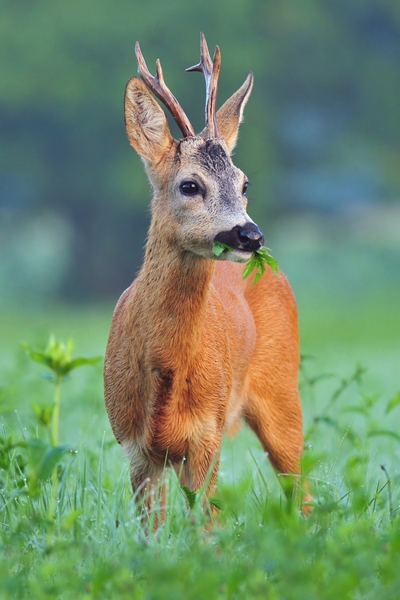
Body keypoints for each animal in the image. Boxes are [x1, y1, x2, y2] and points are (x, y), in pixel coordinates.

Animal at [104, 31, 304, 520]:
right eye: (190, 185)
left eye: (245, 182)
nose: (251, 234)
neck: (167, 374)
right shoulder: (136, 449)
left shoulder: (207, 438)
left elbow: (205, 528)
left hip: (282, 391)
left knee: (304, 487)